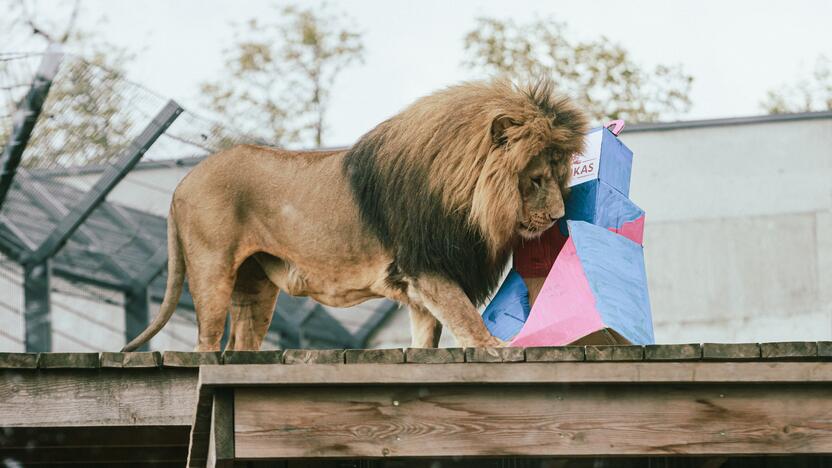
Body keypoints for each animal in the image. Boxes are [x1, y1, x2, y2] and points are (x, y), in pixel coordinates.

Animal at [125, 78, 592, 352]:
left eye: (558, 176)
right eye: (535, 179)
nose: (558, 216)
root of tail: (183, 182)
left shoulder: (422, 286)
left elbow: (428, 337)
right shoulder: (425, 266)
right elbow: (464, 314)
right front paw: (493, 343)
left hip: (255, 284)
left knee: (241, 343)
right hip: (213, 268)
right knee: (206, 342)